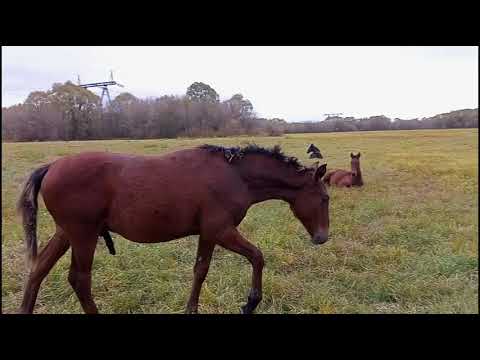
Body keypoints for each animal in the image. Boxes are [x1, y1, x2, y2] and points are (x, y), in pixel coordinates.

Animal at [15, 145, 330, 314]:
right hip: (83, 235)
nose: (322, 237)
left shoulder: (208, 233)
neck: (235, 176)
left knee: (38, 269)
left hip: (67, 233)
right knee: (79, 280)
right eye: (325, 198)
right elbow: (255, 257)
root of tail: (51, 166)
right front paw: (250, 302)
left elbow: (201, 269)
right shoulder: (220, 230)